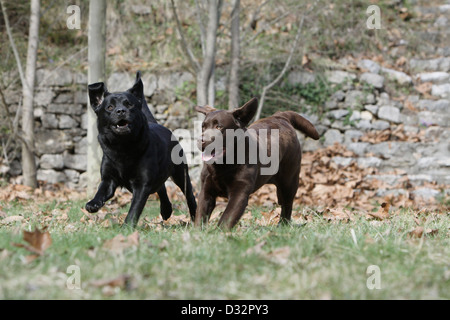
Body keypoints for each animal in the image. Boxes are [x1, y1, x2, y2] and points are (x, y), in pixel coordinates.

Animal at [85, 72, 196, 228]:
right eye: (110, 107)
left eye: (129, 104)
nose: (121, 111)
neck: (122, 147)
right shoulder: (109, 179)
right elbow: (101, 191)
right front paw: (93, 204)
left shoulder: (142, 184)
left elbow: (135, 208)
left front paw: (127, 226)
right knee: (161, 188)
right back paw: (166, 210)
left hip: (180, 174)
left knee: (189, 194)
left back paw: (197, 216)